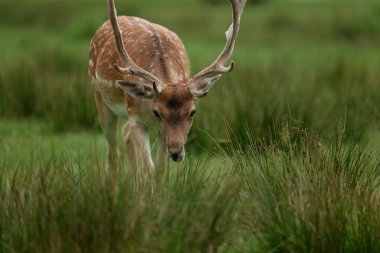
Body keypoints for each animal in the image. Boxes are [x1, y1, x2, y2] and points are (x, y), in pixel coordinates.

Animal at [87, 0, 245, 176]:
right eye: (157, 112)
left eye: (193, 112)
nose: (176, 152)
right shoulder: (136, 119)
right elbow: (149, 168)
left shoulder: (161, 132)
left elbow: (160, 170)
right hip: (100, 97)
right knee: (113, 153)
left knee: (125, 133)